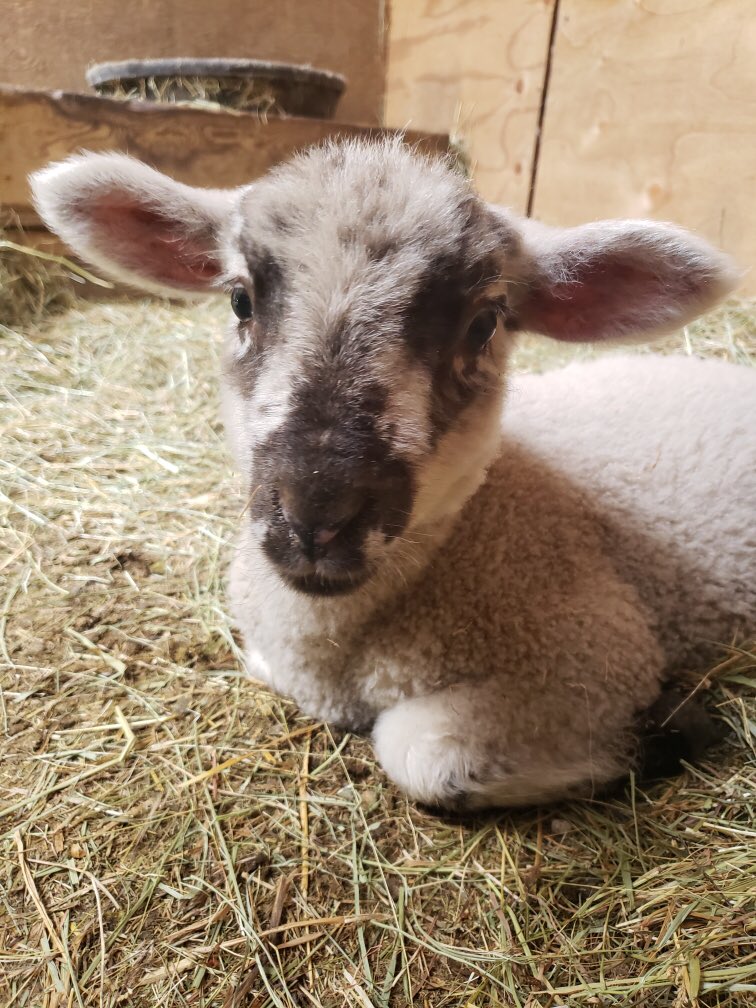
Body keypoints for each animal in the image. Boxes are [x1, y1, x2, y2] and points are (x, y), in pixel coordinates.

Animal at [30, 138, 755, 811]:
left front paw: (668, 734)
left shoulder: (597, 656)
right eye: (240, 301)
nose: (315, 511)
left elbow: (424, 756)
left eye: (484, 323)